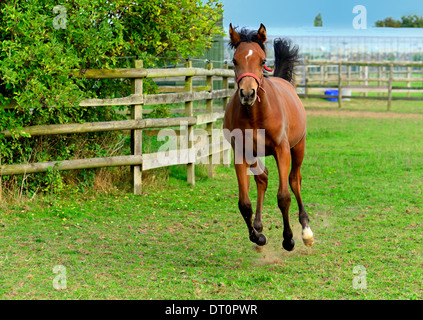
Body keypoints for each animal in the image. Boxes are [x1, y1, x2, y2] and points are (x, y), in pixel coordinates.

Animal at [225, 23, 314, 251]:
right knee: (262, 178)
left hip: (298, 147)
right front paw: (257, 237)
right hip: (255, 155)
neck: (255, 115)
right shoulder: (241, 153)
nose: (248, 94)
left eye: (263, 61)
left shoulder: (281, 151)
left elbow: (284, 197)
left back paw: (306, 230)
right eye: (235, 60)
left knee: (295, 180)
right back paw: (258, 227)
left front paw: (288, 239)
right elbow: (244, 204)